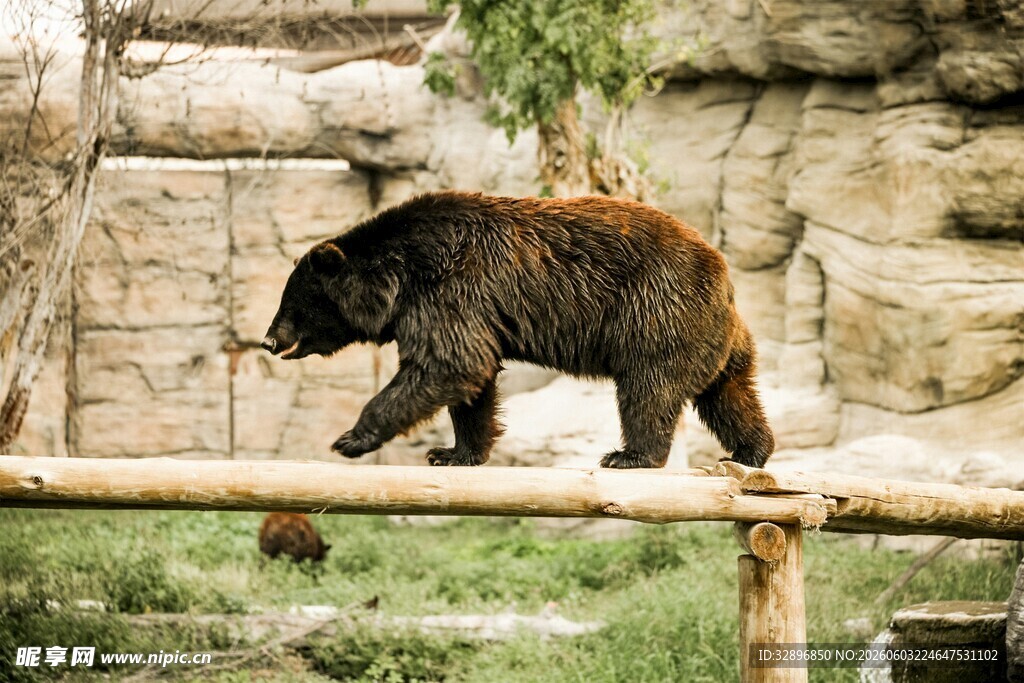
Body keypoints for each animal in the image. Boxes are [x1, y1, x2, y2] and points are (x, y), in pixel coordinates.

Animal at [261, 191, 774, 469]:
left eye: (292, 304)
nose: (269, 340)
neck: (399, 277)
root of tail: (723, 275)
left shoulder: (450, 287)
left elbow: (449, 362)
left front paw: (351, 438)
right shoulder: (459, 303)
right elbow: (472, 378)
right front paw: (453, 452)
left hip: (655, 312)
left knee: (648, 389)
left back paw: (628, 455)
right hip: (714, 340)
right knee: (730, 395)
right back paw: (750, 451)